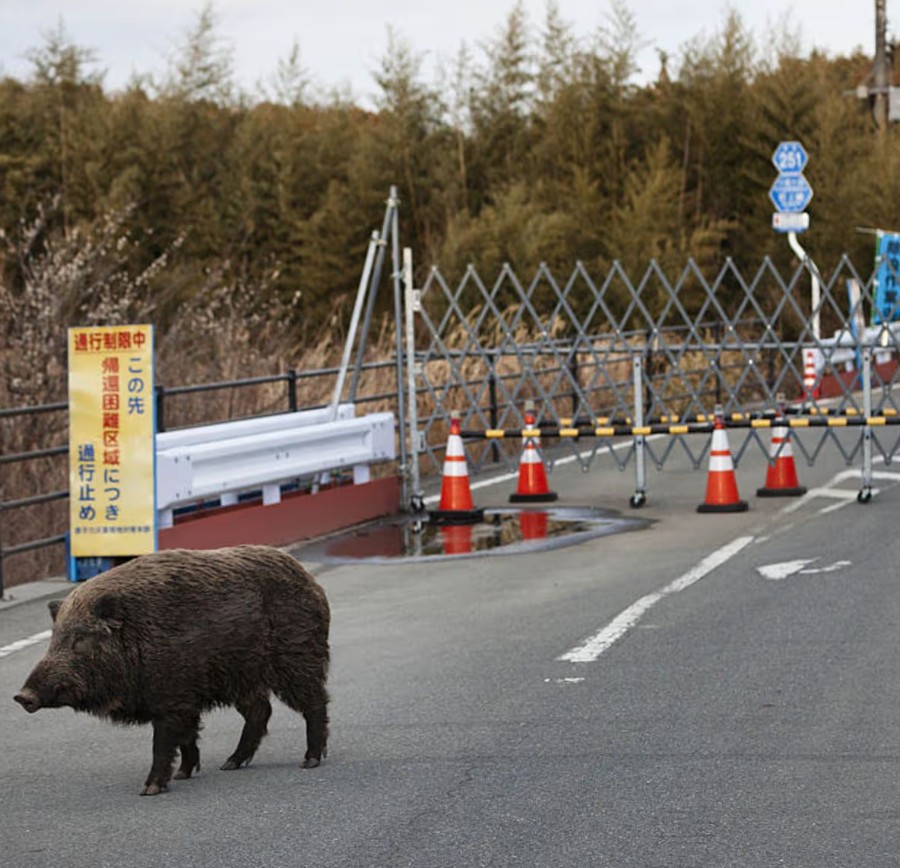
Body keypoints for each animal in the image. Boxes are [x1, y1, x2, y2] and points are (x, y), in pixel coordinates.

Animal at [14, 545, 330, 796]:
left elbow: (163, 743)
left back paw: (309, 761)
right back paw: (230, 764)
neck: (135, 641)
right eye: (54, 639)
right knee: (261, 710)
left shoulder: (171, 699)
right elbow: (188, 737)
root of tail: (310, 580)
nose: (22, 696)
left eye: (80, 639)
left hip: (297, 657)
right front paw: (183, 775)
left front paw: (149, 790)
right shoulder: (184, 701)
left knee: (315, 703)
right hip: (242, 677)